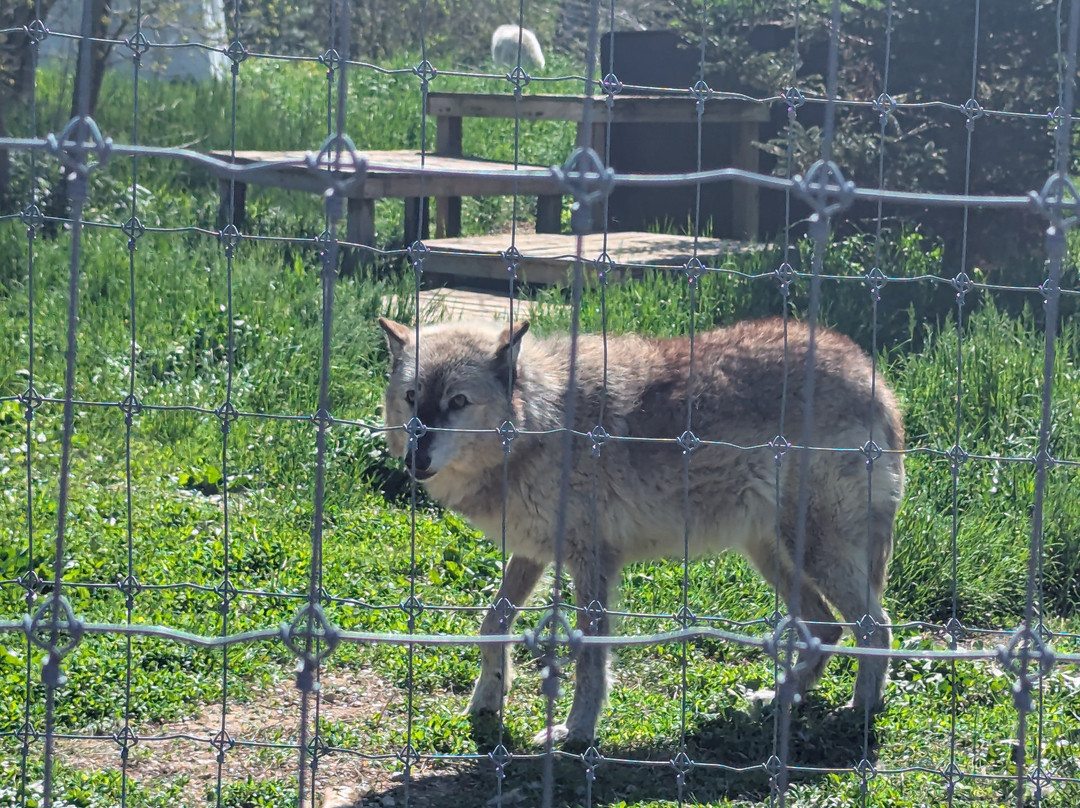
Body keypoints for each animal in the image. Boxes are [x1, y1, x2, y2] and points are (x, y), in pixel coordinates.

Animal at [378, 316, 905, 746]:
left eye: (458, 402)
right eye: (412, 398)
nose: (414, 459)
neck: (541, 423)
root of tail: (874, 378)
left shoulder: (592, 564)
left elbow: (589, 661)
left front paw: (576, 732)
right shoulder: (533, 553)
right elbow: (492, 625)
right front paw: (487, 701)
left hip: (811, 551)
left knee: (876, 626)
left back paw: (860, 711)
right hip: (772, 556)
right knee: (829, 628)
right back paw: (779, 698)